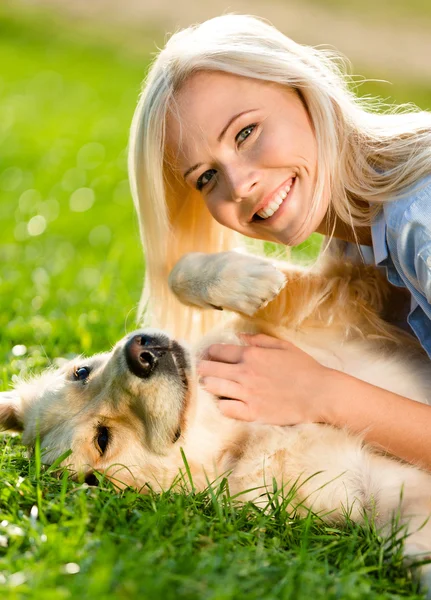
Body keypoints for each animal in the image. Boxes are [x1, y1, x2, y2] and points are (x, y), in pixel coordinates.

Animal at [2, 251, 431, 592]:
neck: (236, 426)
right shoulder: (377, 488)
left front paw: (247, 280)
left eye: (81, 373)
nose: (140, 352)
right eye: (102, 440)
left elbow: (179, 273)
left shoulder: (345, 296)